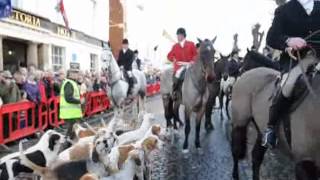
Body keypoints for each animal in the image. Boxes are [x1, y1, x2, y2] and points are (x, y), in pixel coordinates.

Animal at [231, 50, 320, 180]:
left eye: (246, 61)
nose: (239, 71)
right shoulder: (304, 163)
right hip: (240, 121)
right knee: (236, 150)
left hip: (260, 130)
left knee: (256, 157)